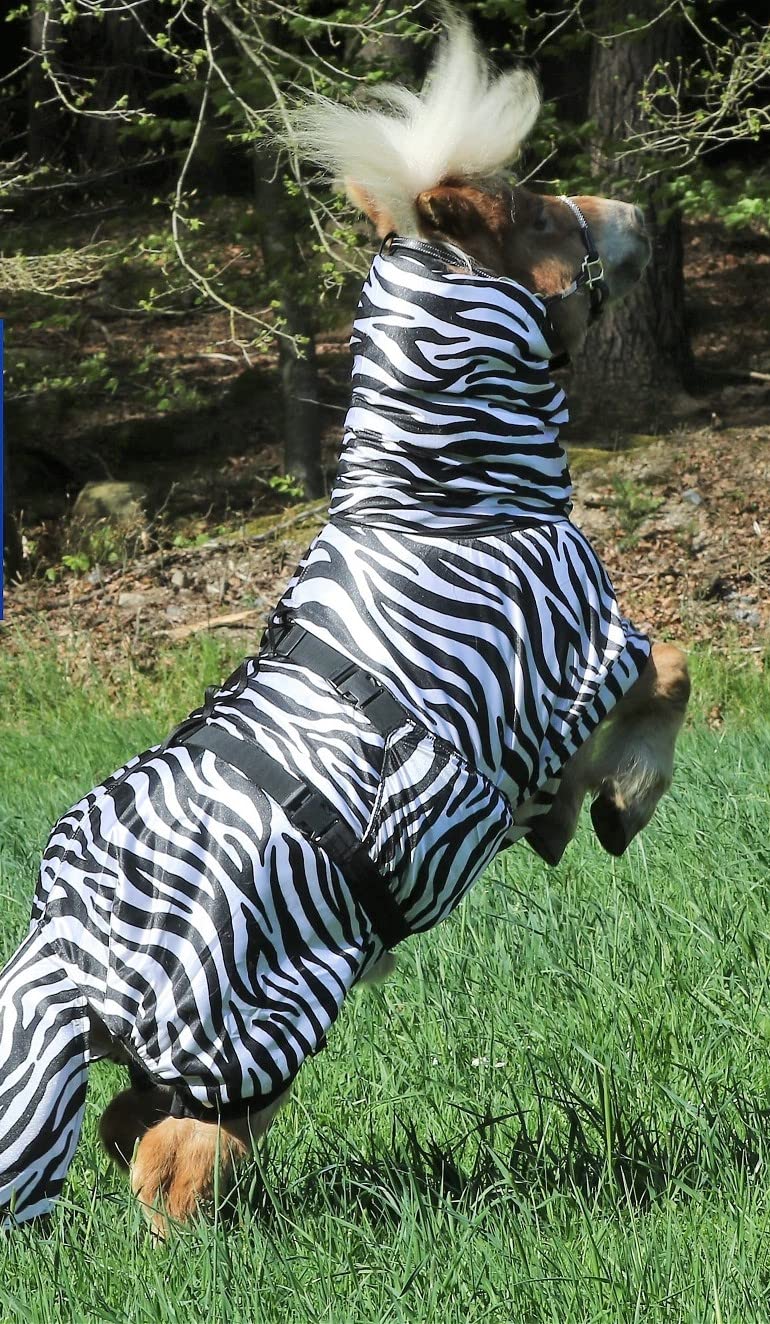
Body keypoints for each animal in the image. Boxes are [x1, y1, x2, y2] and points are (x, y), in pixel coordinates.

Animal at [0, 14, 689, 1236]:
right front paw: (620, 799)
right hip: (256, 1032)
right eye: (542, 213)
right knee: (171, 1159)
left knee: (133, 1128)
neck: (442, 488)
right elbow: (680, 674)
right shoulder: (578, 652)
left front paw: (572, 815)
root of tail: (67, 945)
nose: (643, 215)